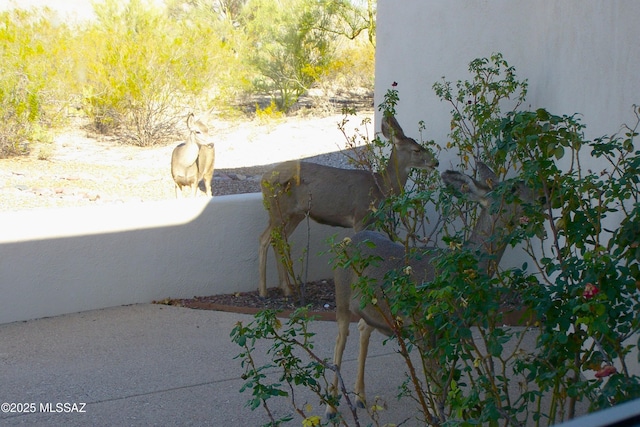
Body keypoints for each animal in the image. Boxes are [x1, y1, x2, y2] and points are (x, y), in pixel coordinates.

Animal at [258, 115, 438, 300]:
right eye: (416, 150)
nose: (435, 162)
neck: (380, 186)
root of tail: (263, 179)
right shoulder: (360, 217)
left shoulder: (371, 221)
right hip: (277, 209)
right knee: (265, 238)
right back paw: (264, 291)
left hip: (296, 214)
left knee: (278, 239)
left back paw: (286, 288)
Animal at [328, 165, 544, 422]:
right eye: (513, 189)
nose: (545, 194)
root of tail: (348, 240)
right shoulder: (424, 327)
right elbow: (434, 383)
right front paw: (437, 417)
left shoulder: (449, 333)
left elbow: (442, 382)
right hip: (341, 294)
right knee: (340, 340)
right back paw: (331, 409)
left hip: (375, 308)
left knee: (363, 329)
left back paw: (360, 397)